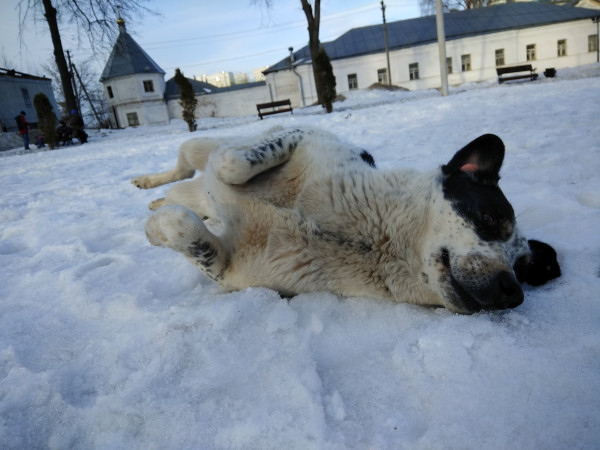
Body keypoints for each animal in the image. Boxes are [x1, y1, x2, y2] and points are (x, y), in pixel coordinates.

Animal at [134, 125, 560, 312]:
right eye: (488, 216)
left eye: (524, 269)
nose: (512, 291)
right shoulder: (309, 141)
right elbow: (232, 163)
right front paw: (154, 227)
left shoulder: (230, 269)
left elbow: (182, 225)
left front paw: (155, 230)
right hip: (197, 145)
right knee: (190, 163)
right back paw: (148, 184)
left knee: (183, 195)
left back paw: (159, 203)